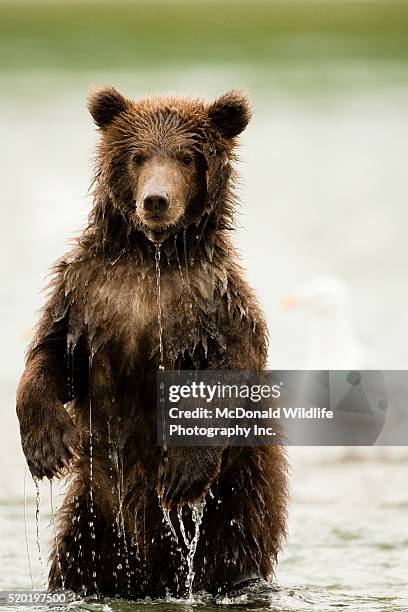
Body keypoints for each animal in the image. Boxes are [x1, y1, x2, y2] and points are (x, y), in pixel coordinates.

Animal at [15, 87, 288, 596]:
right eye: (137, 156)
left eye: (187, 157)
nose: (156, 200)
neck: (151, 255)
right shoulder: (85, 293)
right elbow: (50, 353)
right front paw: (47, 446)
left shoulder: (215, 305)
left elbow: (229, 374)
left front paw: (181, 471)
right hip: (92, 518)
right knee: (75, 563)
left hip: (236, 501)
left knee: (233, 552)